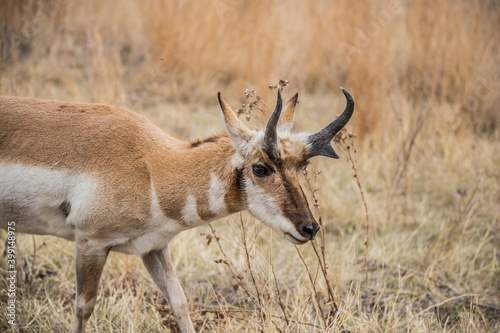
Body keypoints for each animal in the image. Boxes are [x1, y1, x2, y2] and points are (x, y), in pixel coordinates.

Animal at [0, 87, 354, 330]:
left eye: (301, 168)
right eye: (260, 168)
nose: (310, 228)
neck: (154, 165)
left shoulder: (154, 249)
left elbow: (180, 303)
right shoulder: (90, 244)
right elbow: (83, 307)